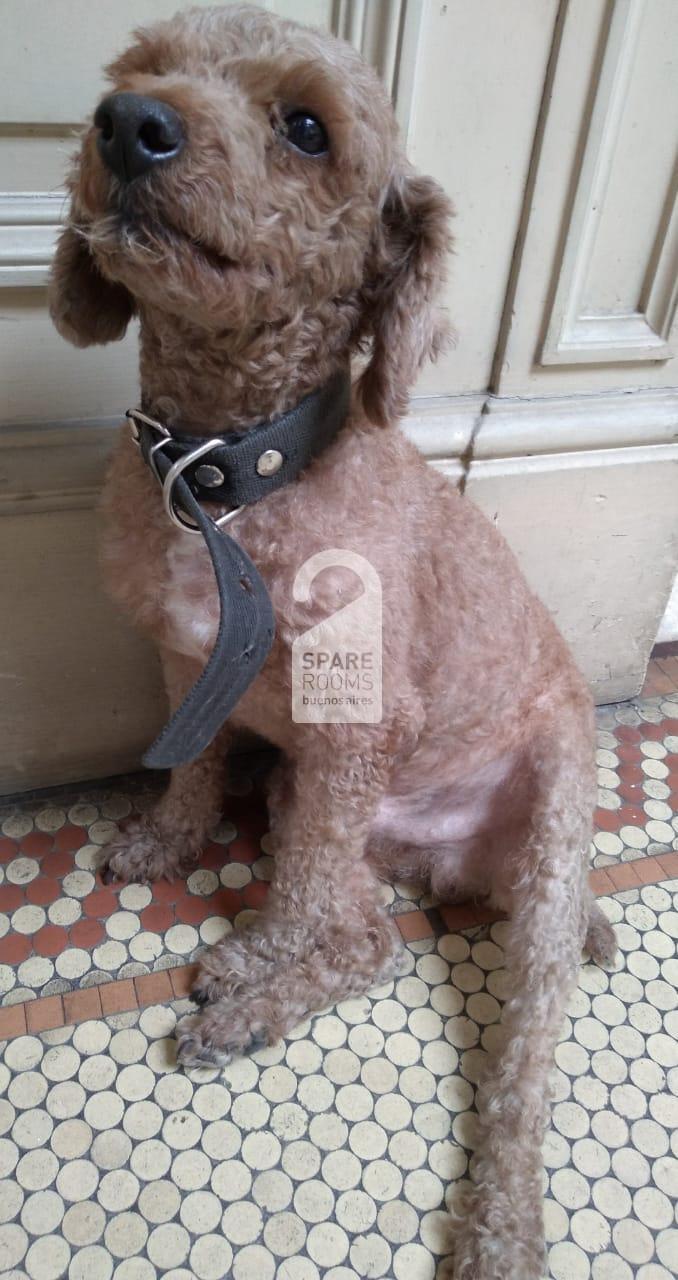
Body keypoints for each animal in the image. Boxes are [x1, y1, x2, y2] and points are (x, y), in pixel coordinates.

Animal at [49, 6, 617, 1277]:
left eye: (307, 127)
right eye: (144, 66)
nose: (127, 123)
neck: (230, 482)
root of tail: (463, 861)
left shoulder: (356, 727)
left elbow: (299, 895)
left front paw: (259, 950)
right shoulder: (190, 665)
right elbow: (196, 769)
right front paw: (172, 841)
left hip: (544, 851)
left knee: (515, 1060)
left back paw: (497, 1220)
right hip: (323, 802)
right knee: (371, 937)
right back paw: (255, 999)